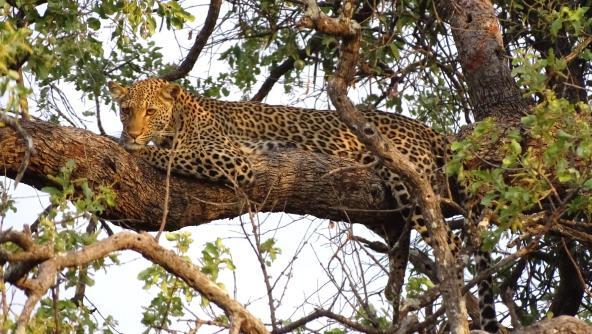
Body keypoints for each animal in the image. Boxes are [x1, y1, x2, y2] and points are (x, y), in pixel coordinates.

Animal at [107, 77, 500, 332]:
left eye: (150, 111)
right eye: (126, 110)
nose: (132, 132)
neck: (179, 117)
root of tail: (427, 128)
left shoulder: (233, 159)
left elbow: (169, 155)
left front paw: (134, 148)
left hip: (407, 178)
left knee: (451, 243)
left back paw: (450, 296)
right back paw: (396, 285)